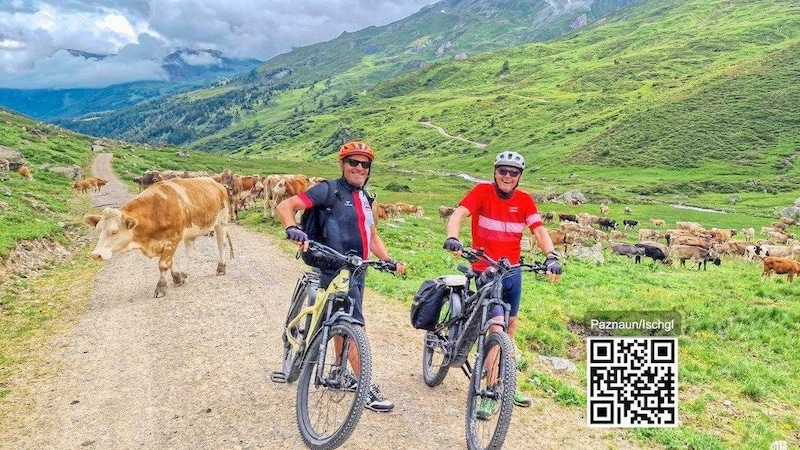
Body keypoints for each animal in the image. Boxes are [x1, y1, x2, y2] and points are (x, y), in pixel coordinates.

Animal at [83, 177, 233, 298]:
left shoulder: (173, 239)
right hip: (191, 232)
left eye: (114, 231)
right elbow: (170, 261)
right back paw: (184, 273)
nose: (96, 254)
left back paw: (221, 268)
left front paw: (160, 288)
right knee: (189, 252)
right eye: (98, 230)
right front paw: (178, 278)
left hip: (221, 221)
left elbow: (163, 264)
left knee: (221, 244)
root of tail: (216, 183)